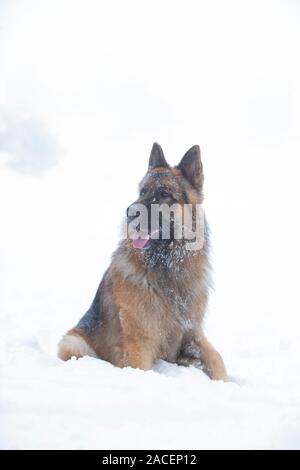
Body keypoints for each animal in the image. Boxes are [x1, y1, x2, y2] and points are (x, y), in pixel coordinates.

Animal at [58, 141, 227, 380]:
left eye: (164, 193)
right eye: (143, 192)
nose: (129, 212)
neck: (168, 268)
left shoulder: (192, 333)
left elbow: (218, 360)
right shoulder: (139, 343)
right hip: (73, 342)